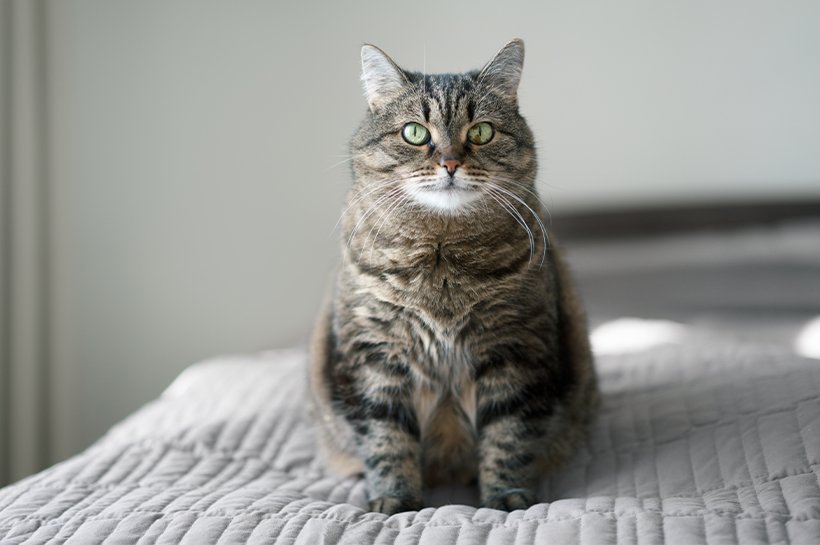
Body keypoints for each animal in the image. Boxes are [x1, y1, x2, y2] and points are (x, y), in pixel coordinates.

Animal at [310, 39, 600, 516]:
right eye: (415, 132)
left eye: (481, 132)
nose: (449, 162)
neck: (441, 254)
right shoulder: (375, 356)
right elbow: (386, 437)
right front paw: (394, 500)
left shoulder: (515, 349)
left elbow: (508, 435)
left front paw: (507, 498)